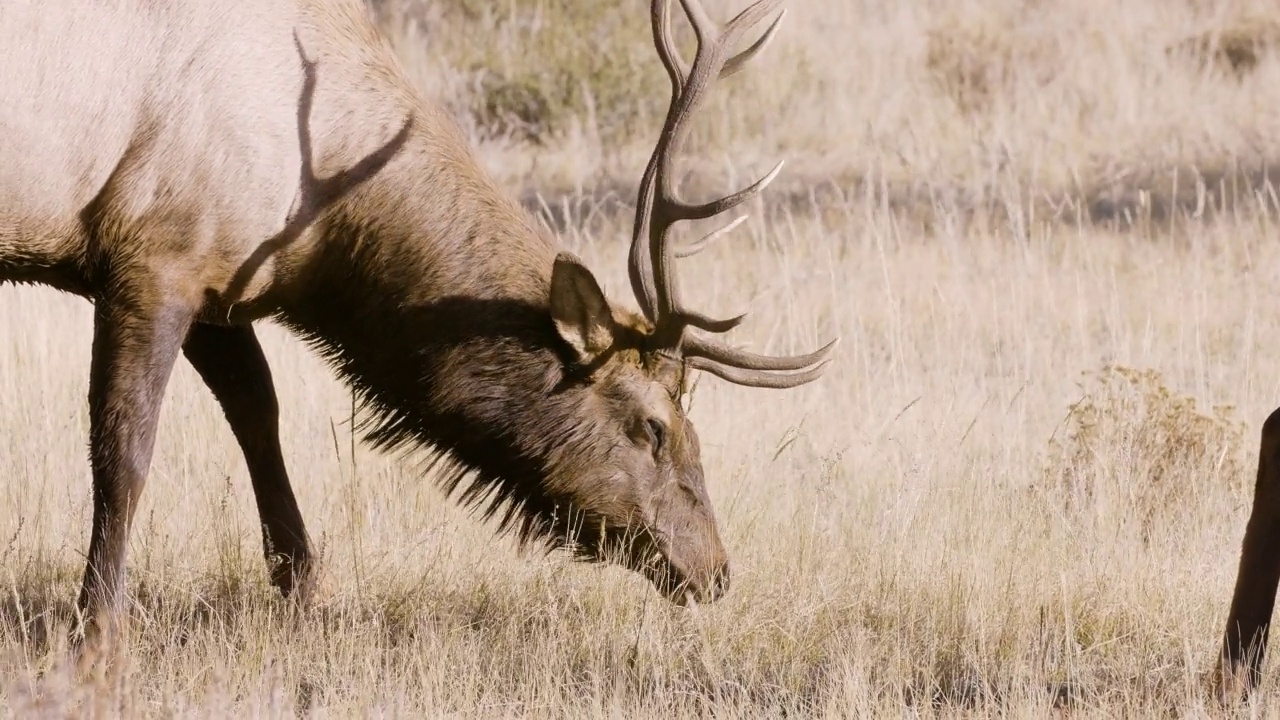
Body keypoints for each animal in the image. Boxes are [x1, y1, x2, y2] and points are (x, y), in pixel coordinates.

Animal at [0, 0, 834, 645]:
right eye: (653, 426)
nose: (715, 570)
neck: (317, 219)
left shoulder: (222, 285)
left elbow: (258, 414)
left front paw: (306, 589)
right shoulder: (152, 259)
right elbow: (124, 451)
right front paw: (97, 627)